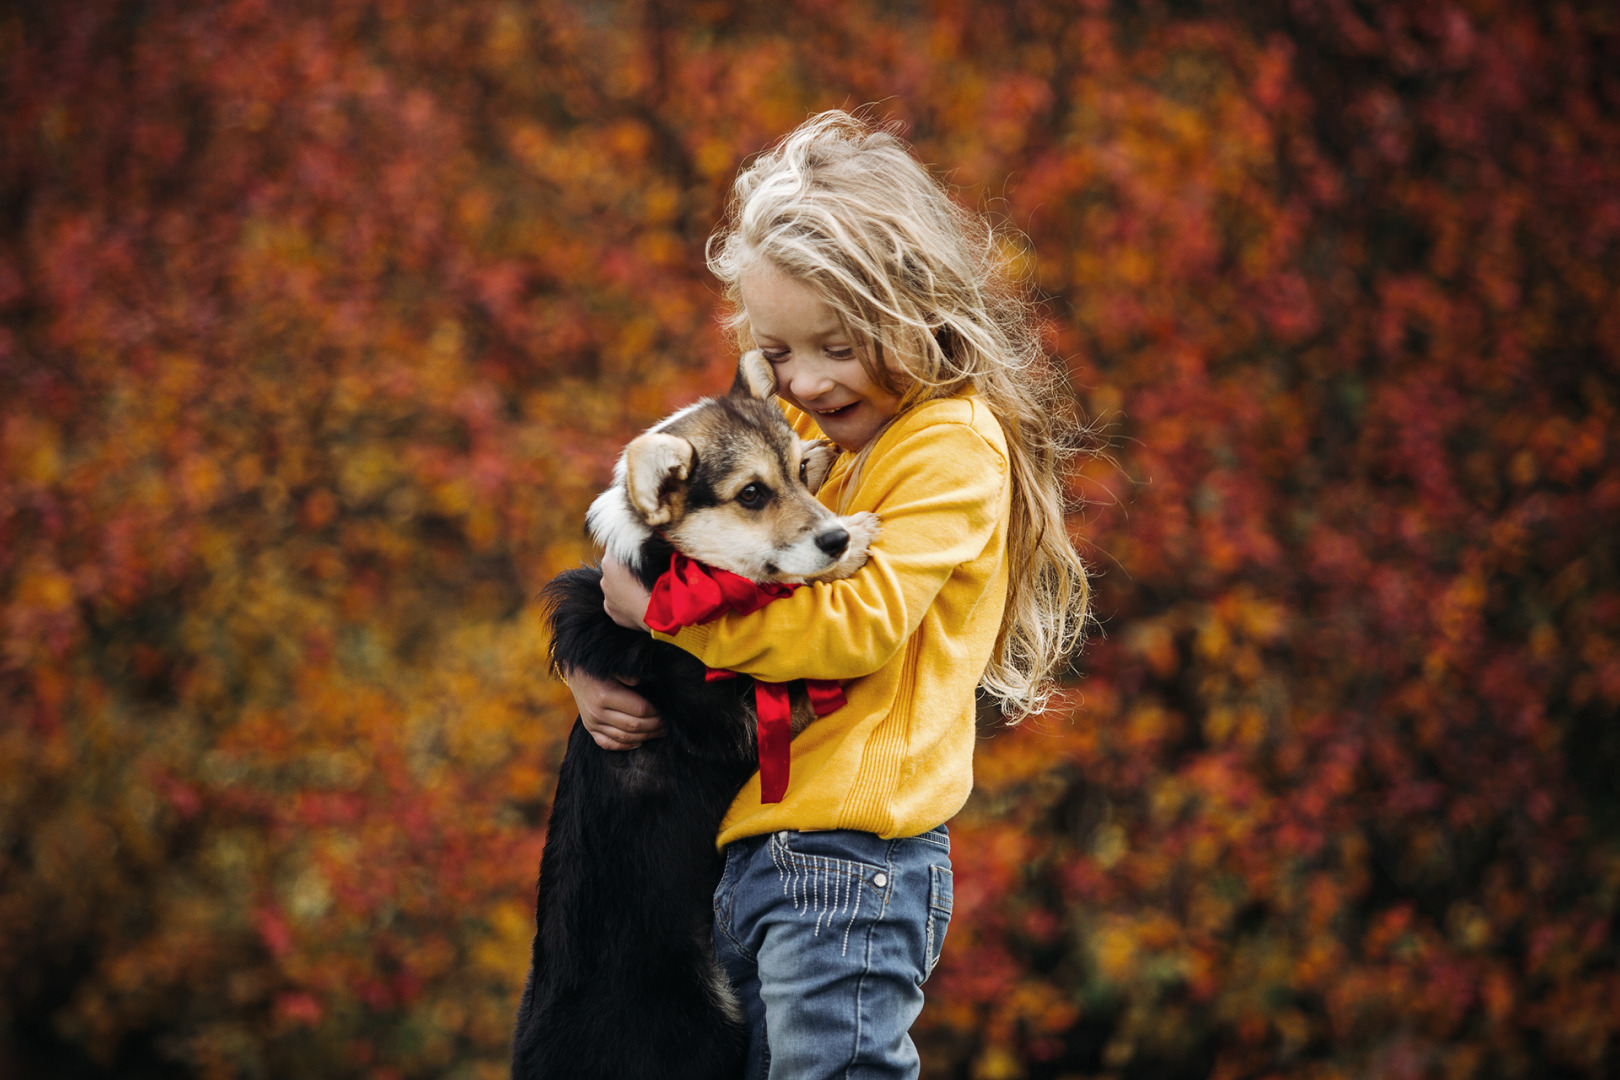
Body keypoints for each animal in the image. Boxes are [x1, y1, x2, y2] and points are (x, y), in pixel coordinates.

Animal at [511, 352, 881, 1080]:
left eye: (793, 469)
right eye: (751, 495)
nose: (833, 534)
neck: (673, 566)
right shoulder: (742, 719)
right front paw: (852, 547)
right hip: (703, 1019)